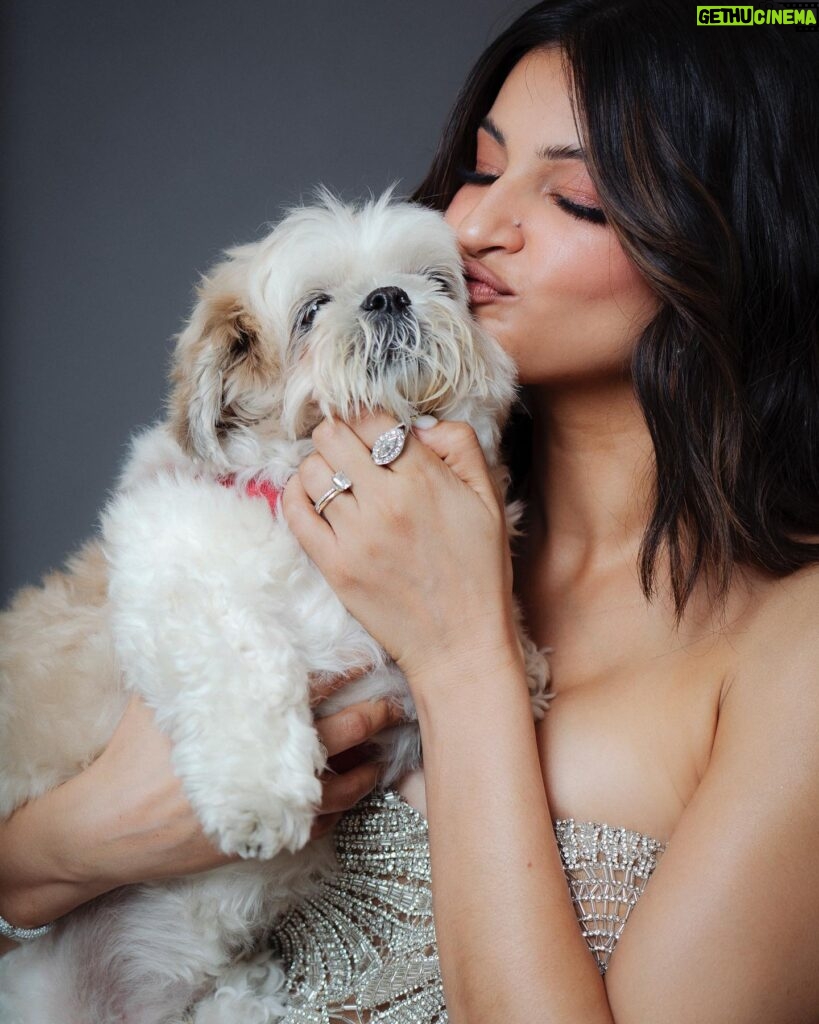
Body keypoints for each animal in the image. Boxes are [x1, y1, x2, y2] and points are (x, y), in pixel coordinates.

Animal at [1, 193, 548, 1024]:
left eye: (438, 282)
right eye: (311, 310)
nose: (389, 297)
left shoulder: (403, 696)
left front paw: (526, 658)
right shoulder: (169, 559)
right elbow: (239, 658)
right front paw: (260, 797)